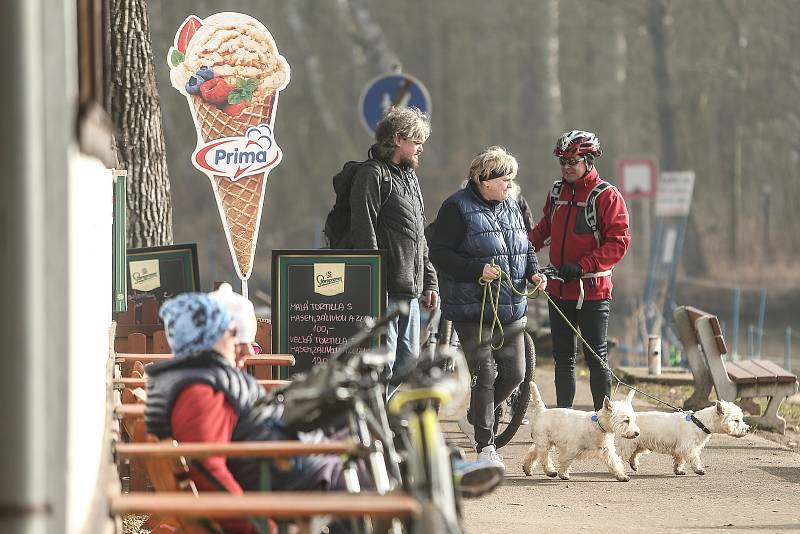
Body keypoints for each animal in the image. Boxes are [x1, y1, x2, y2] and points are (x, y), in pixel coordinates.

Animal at [620, 402, 752, 478]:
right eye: (736, 420)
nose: (747, 429)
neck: (700, 423)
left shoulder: (681, 448)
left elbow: (679, 460)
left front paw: (678, 470)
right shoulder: (688, 447)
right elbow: (694, 459)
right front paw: (699, 470)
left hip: (640, 444)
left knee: (634, 454)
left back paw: (634, 465)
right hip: (628, 444)